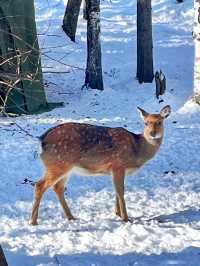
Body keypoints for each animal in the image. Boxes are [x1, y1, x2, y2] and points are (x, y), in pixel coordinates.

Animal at [29, 104, 170, 224]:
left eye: (159, 122)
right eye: (146, 123)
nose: (152, 133)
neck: (136, 149)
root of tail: (41, 141)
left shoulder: (115, 169)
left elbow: (116, 190)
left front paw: (117, 213)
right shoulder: (118, 164)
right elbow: (121, 191)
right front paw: (125, 218)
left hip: (65, 167)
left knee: (58, 187)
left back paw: (71, 217)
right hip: (58, 164)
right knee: (39, 185)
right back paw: (33, 221)